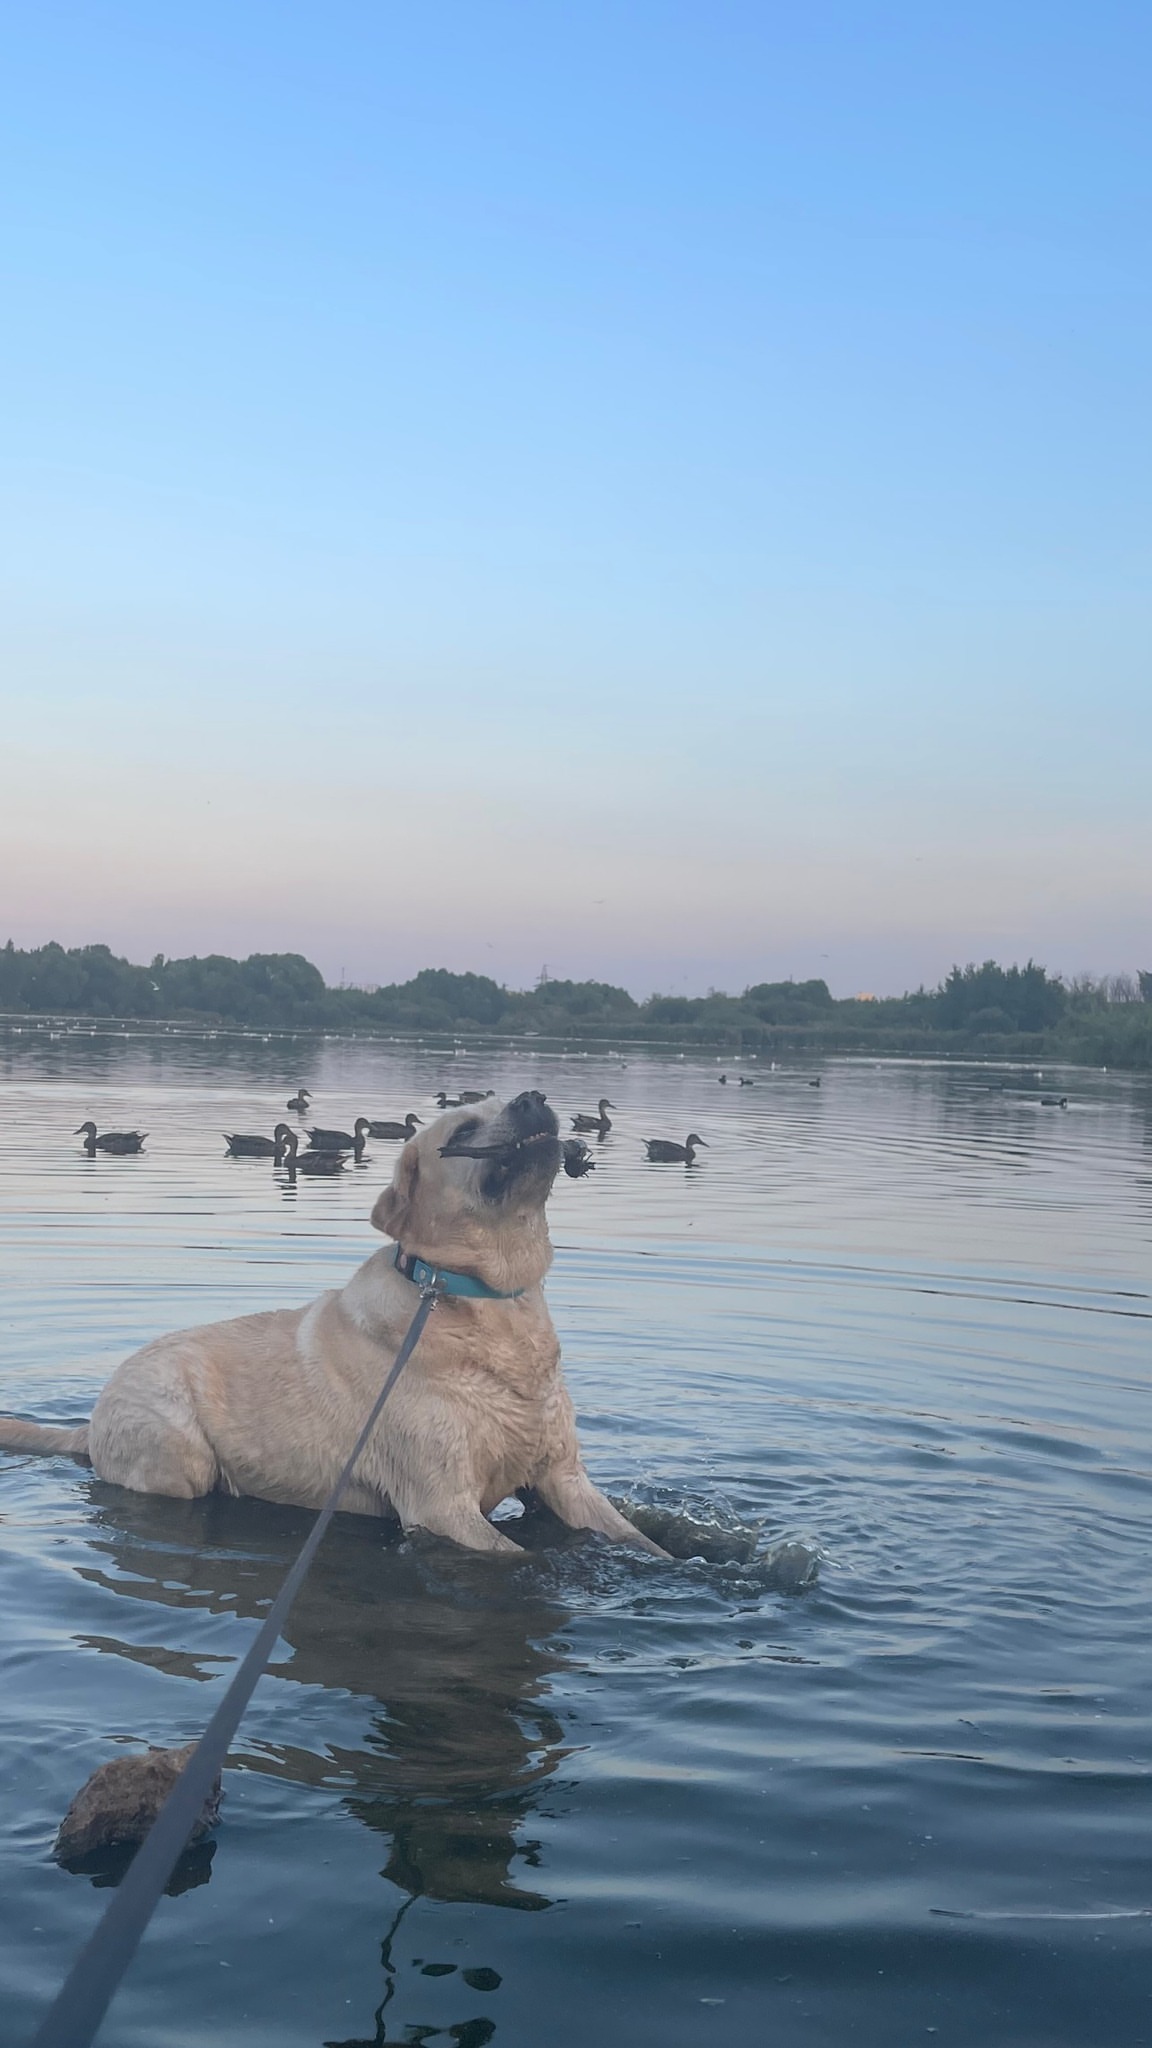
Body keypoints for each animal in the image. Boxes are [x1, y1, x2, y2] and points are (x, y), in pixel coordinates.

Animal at [0, 1097, 660, 1556]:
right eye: (463, 1132)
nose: (534, 1097)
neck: (484, 1304)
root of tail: (90, 1423)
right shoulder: (441, 1508)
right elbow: (517, 1559)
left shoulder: (565, 1481)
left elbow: (645, 1543)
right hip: (179, 1457)